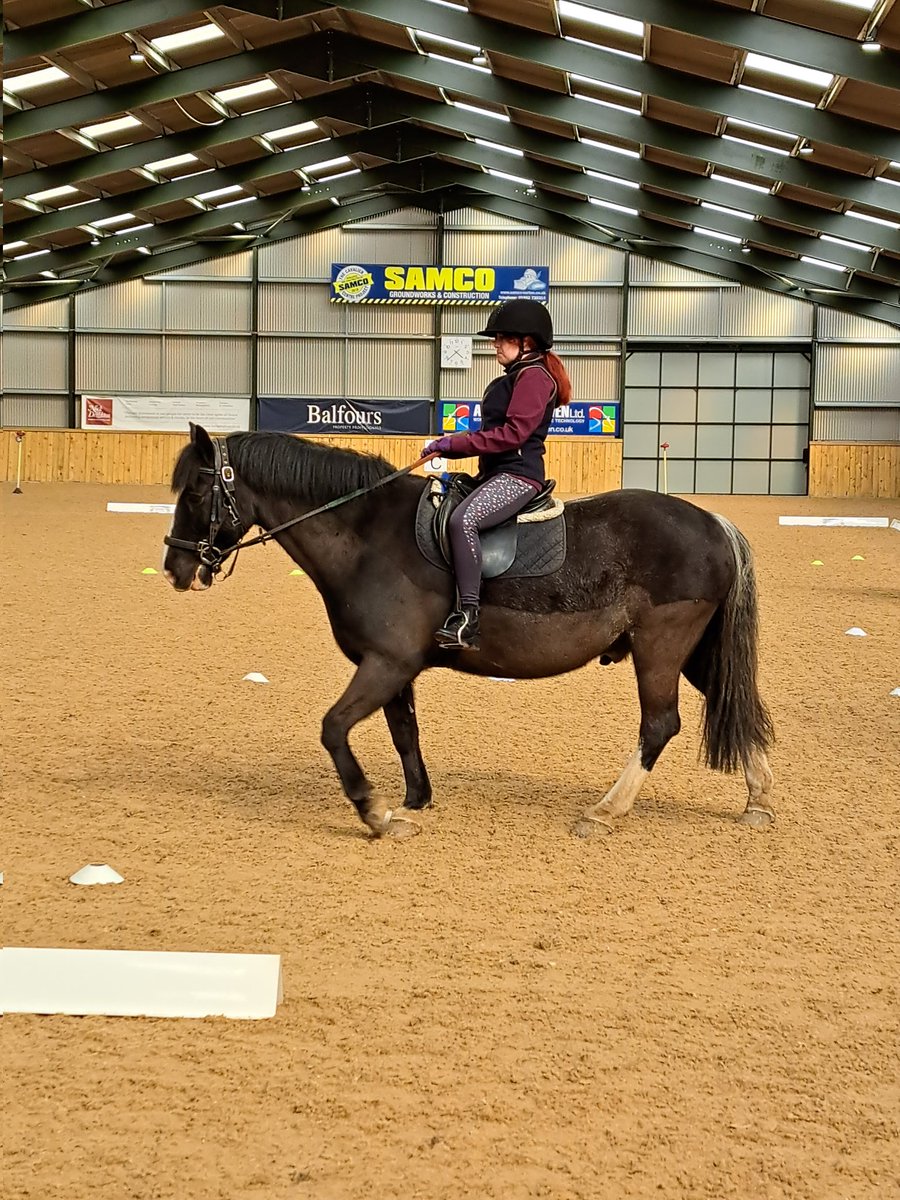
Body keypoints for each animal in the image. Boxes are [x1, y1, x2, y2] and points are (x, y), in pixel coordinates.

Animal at [164, 427, 777, 840]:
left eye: (195, 493)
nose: (175, 569)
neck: (367, 538)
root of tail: (713, 523)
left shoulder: (385, 663)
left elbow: (334, 728)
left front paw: (375, 812)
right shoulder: (394, 667)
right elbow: (404, 732)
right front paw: (414, 801)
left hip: (661, 647)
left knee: (660, 725)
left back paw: (605, 811)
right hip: (693, 652)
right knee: (734, 703)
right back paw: (759, 800)